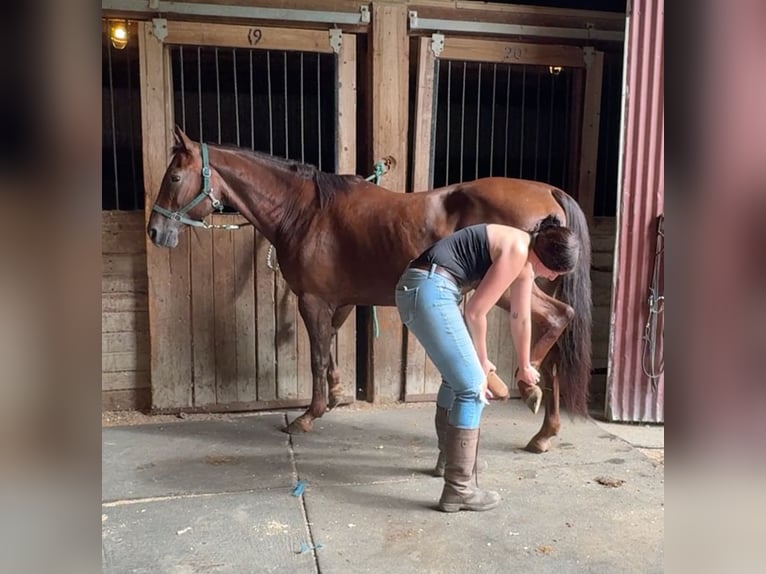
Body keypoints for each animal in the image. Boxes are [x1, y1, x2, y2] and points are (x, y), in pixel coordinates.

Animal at [148, 126, 592, 454]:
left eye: (174, 177)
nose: (155, 231)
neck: (305, 213)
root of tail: (547, 191)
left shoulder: (312, 300)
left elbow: (316, 355)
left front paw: (309, 415)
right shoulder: (341, 300)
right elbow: (330, 347)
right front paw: (337, 394)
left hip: (508, 287)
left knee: (558, 317)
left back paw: (523, 388)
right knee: (556, 344)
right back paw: (544, 432)